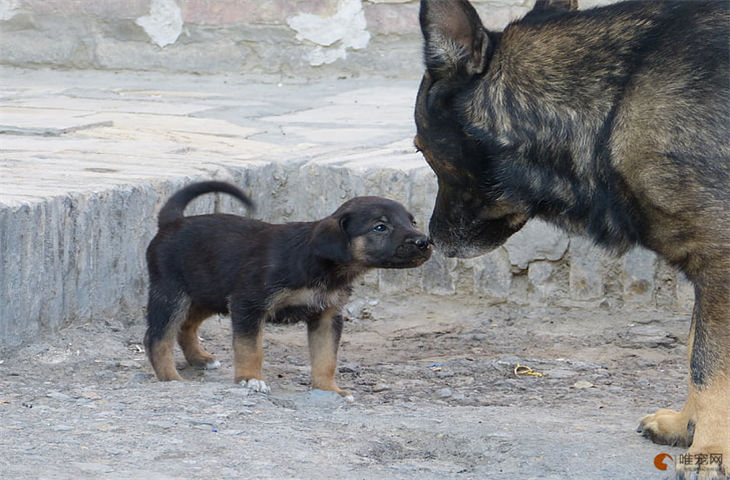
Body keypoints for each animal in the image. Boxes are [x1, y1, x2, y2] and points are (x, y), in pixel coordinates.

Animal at [144, 180, 430, 398]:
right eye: (380, 227)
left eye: (412, 221)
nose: (425, 242)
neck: (319, 264)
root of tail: (172, 222)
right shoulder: (249, 304)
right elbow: (250, 349)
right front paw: (250, 379)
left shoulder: (327, 316)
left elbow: (326, 358)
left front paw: (329, 390)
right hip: (172, 293)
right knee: (158, 338)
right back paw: (171, 378)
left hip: (207, 293)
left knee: (186, 325)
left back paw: (199, 359)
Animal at [416, 0, 728, 476]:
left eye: (420, 148)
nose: (432, 240)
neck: (615, 103)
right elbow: (696, 347)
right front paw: (685, 425)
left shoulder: (720, 266)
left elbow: (707, 365)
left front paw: (711, 449)